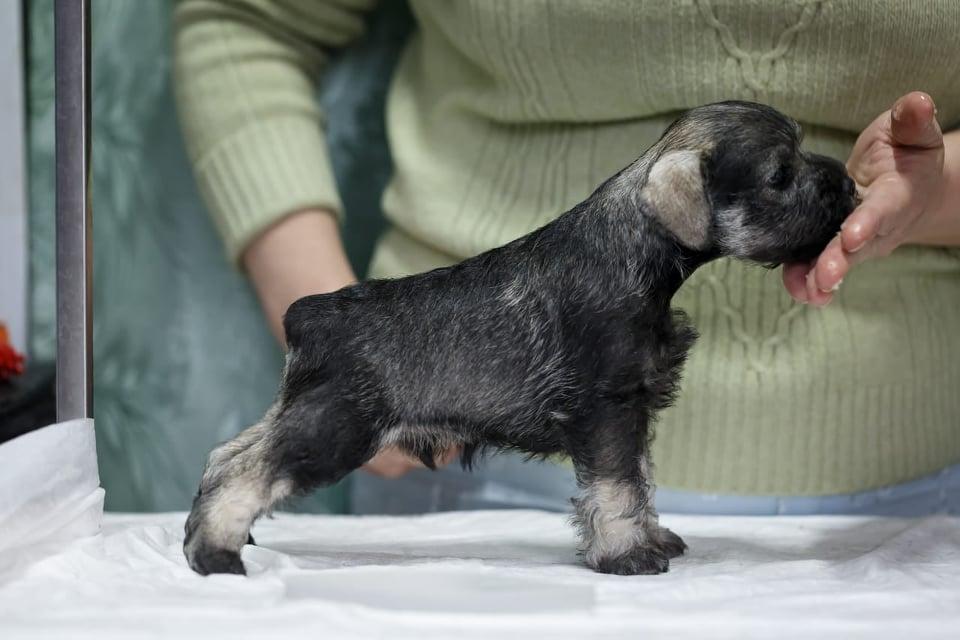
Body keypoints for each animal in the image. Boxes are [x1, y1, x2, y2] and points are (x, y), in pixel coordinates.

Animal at [184, 101, 858, 577]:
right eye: (780, 174)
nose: (850, 187)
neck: (634, 247)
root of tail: (310, 314)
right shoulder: (608, 408)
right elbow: (617, 486)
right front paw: (626, 554)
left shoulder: (632, 411)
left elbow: (640, 479)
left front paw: (650, 537)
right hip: (335, 426)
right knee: (247, 471)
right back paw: (216, 554)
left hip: (305, 410)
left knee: (228, 455)